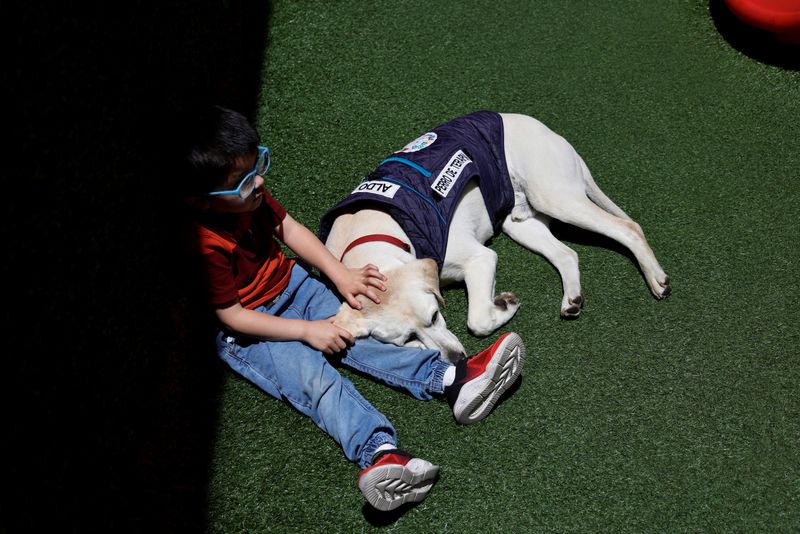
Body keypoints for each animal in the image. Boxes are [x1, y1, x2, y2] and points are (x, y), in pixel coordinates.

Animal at [318, 113, 668, 364]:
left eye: (435, 315)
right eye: (405, 338)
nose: (458, 360)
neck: (369, 236)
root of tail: (554, 135)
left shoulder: (480, 258)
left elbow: (477, 319)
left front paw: (505, 305)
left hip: (556, 197)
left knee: (628, 227)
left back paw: (657, 279)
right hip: (520, 222)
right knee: (567, 253)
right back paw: (572, 299)